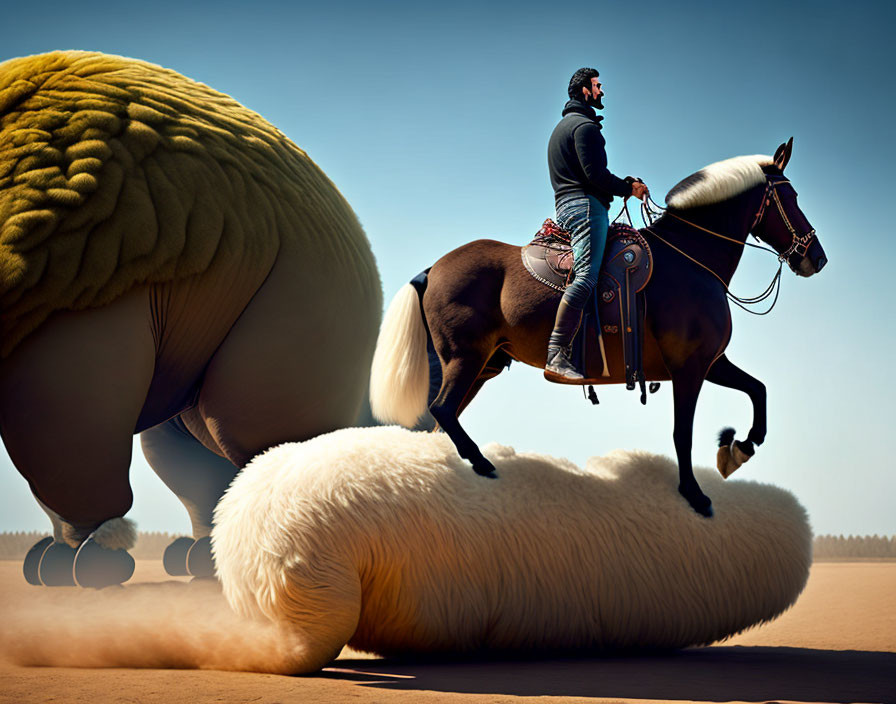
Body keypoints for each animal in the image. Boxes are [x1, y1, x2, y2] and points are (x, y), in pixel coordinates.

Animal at [370, 142, 824, 516]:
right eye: (791, 197)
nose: (815, 258)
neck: (690, 260)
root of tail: (433, 268)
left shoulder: (710, 362)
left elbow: (758, 390)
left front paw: (738, 448)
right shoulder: (689, 368)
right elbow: (683, 433)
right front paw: (695, 495)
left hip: (482, 366)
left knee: (442, 420)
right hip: (465, 359)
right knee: (443, 409)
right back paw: (483, 464)